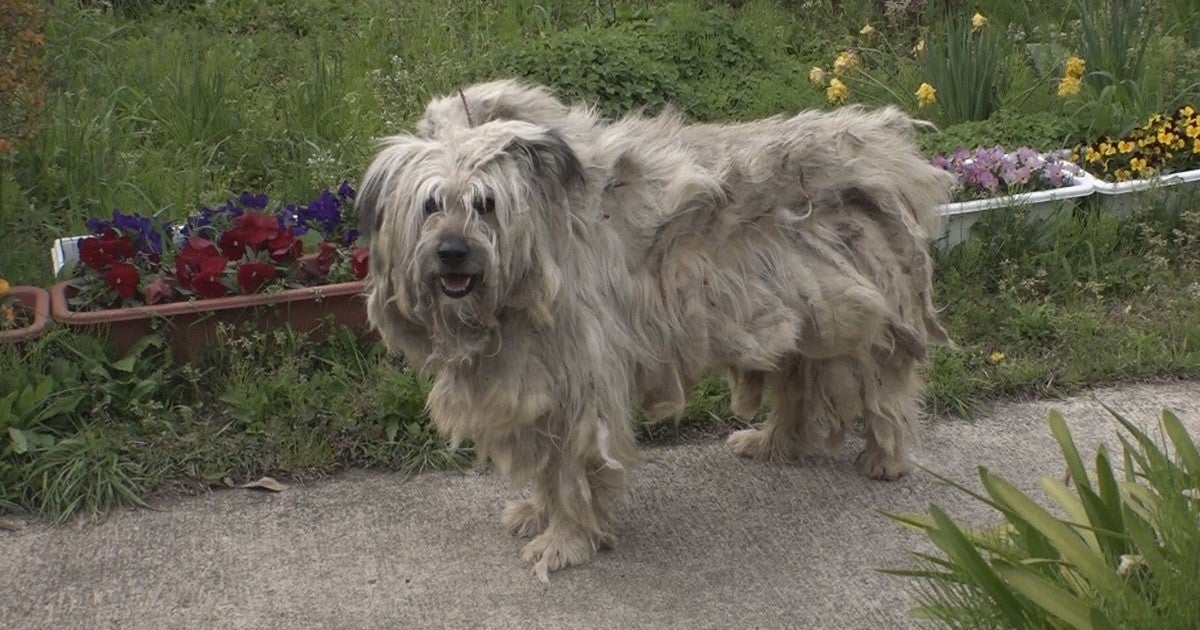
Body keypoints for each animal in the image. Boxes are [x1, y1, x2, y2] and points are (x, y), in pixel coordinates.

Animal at [357, 81, 955, 578]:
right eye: (431, 204)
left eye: (485, 204)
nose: (452, 252)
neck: (542, 249)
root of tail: (885, 149)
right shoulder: (538, 383)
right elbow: (547, 467)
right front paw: (538, 511)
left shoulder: (579, 385)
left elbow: (570, 468)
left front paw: (566, 541)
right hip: (798, 317)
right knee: (798, 390)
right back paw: (772, 442)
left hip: (860, 315)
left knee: (885, 388)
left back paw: (886, 456)